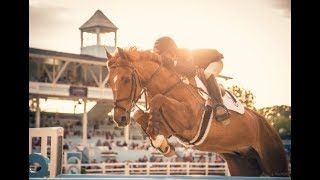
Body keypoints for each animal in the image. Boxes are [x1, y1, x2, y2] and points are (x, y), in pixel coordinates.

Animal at [105, 47, 290, 176]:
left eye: (126, 79)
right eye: (108, 83)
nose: (119, 118)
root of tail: (268, 125)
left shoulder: (188, 122)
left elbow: (158, 98)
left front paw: (157, 138)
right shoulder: (171, 128)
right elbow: (139, 114)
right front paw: (162, 144)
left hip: (274, 161)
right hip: (241, 164)